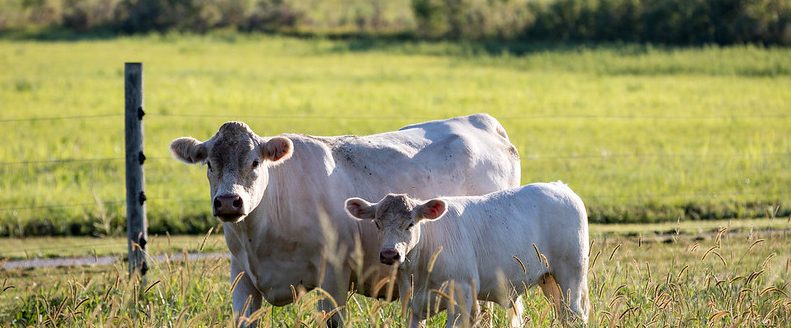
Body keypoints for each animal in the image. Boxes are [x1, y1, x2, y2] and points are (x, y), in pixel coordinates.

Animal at [169, 114, 520, 324]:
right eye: (209, 164)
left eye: (255, 162)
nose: (229, 201)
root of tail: (482, 121)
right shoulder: (241, 276)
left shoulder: (334, 274)